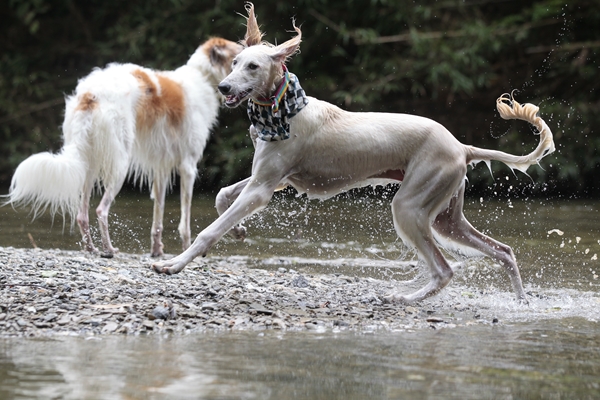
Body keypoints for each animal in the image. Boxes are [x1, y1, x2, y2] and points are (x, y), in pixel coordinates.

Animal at [5, 36, 243, 256]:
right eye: (237, 57)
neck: (202, 76)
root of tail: (90, 95)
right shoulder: (188, 166)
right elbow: (184, 222)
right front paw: (187, 249)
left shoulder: (161, 169)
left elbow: (158, 216)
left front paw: (156, 251)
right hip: (120, 164)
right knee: (101, 210)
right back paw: (109, 248)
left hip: (90, 165)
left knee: (82, 215)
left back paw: (91, 248)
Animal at [152, 3, 556, 304]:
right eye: (234, 63)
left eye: (253, 66)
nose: (224, 87)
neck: (283, 110)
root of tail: (460, 144)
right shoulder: (271, 179)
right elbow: (222, 195)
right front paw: (238, 231)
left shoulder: (263, 188)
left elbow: (209, 230)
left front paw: (174, 264)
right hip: (446, 217)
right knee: (503, 250)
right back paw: (521, 300)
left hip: (410, 207)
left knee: (444, 269)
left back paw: (403, 298)